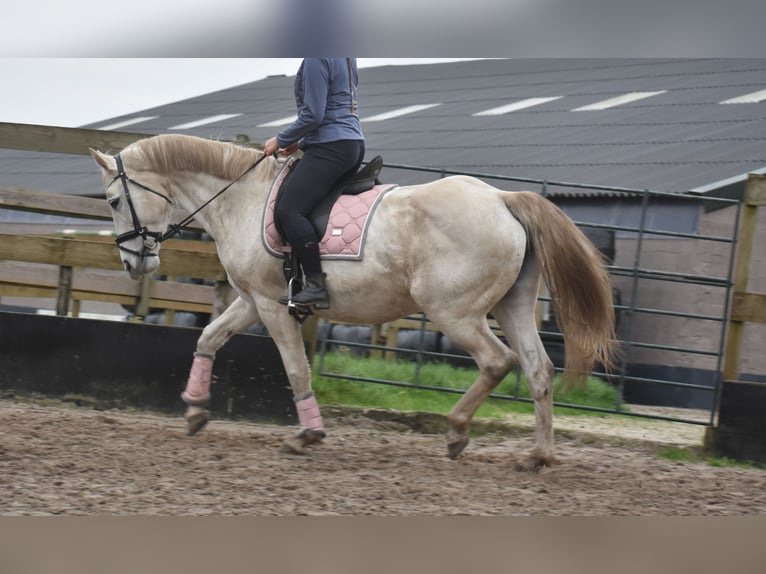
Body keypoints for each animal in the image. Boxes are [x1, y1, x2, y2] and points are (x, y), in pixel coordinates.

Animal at [90, 135, 616, 472]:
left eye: (114, 201)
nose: (134, 263)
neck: (241, 198)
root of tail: (502, 199)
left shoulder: (272, 306)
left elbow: (295, 368)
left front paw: (307, 434)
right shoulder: (252, 301)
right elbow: (208, 336)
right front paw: (196, 410)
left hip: (455, 313)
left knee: (497, 361)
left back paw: (457, 431)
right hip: (511, 307)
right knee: (537, 368)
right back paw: (538, 456)